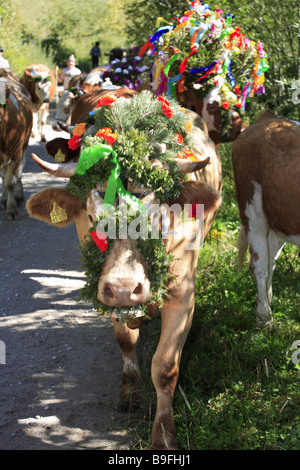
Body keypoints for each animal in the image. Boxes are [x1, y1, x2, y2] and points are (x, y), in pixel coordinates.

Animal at [26, 89, 223, 452]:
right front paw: (130, 391)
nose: (123, 289)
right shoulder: (106, 293)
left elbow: (165, 368)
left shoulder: (184, 295)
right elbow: (125, 340)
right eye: (92, 219)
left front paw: (164, 437)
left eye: (157, 218)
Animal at [232, 109, 300, 326]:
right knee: (259, 265)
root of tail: (268, 116)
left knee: (271, 262)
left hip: (279, 219)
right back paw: (264, 318)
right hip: (252, 211)